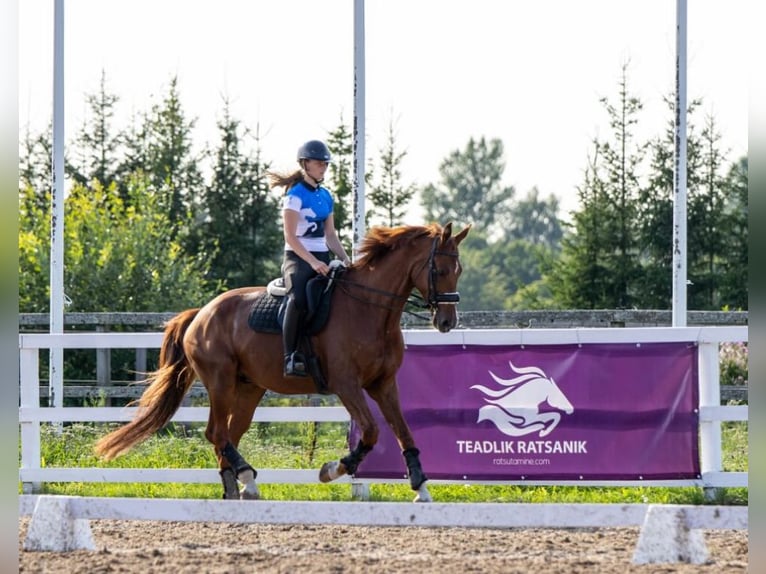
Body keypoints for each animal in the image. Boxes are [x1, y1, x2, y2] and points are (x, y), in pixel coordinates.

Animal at [93, 223, 472, 502]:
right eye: (440, 268)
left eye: (460, 270)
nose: (447, 322)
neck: (370, 310)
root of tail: (201, 312)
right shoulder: (346, 385)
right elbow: (371, 432)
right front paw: (332, 469)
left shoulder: (383, 384)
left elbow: (402, 431)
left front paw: (421, 487)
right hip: (220, 381)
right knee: (216, 432)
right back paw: (246, 477)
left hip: (248, 389)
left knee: (227, 435)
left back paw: (237, 487)